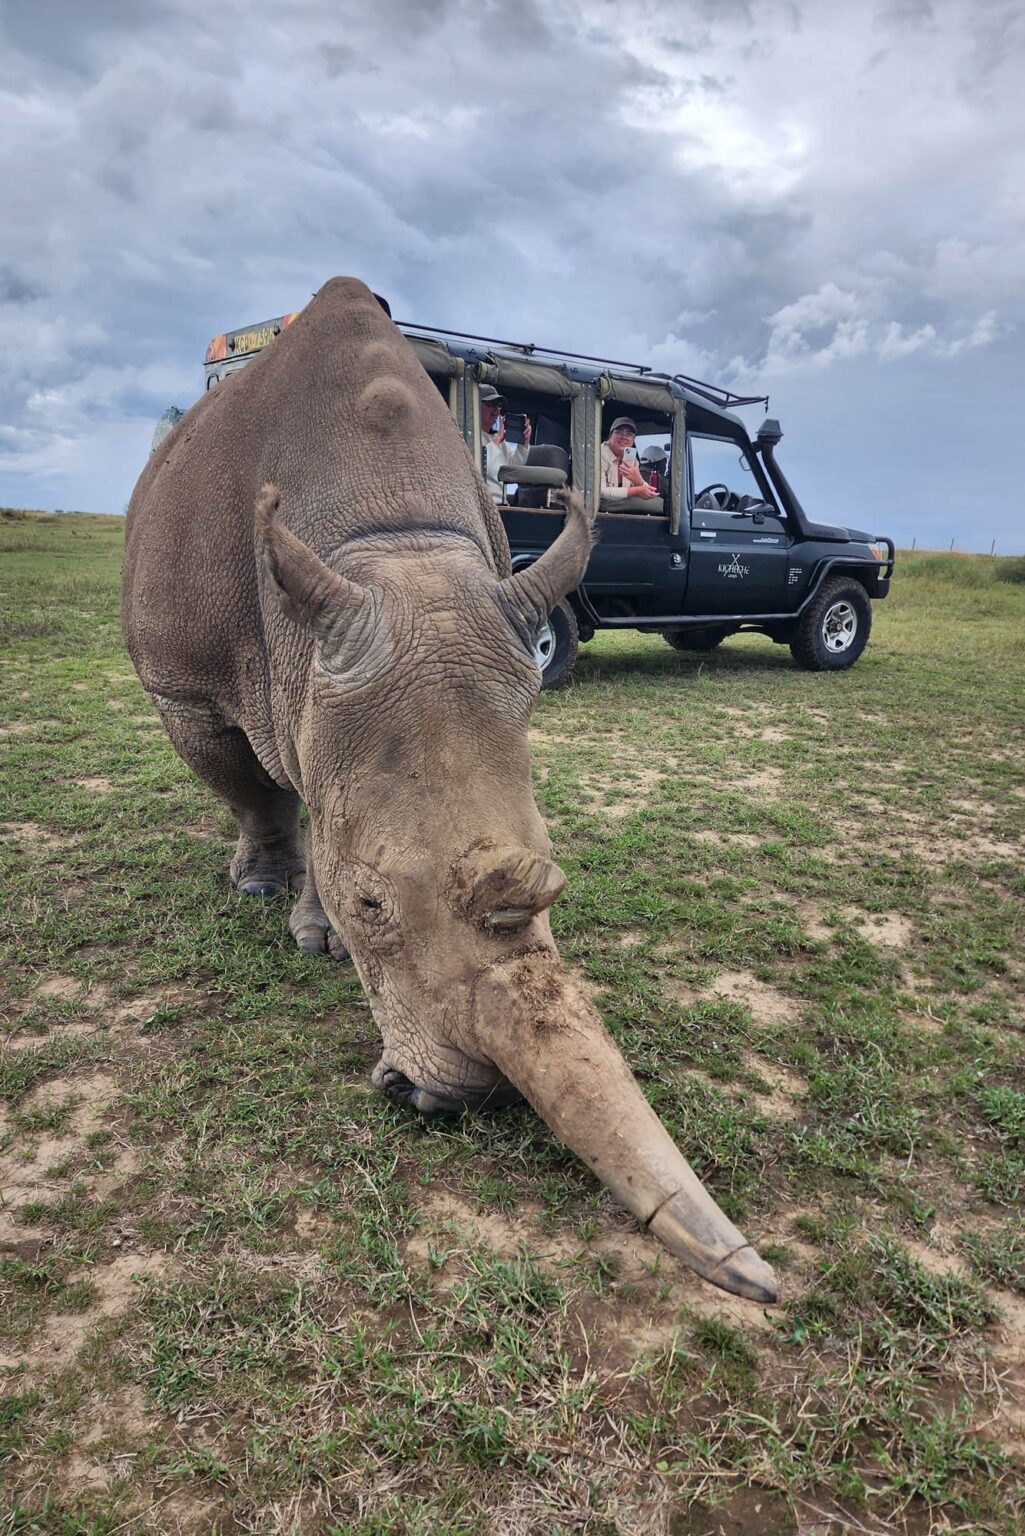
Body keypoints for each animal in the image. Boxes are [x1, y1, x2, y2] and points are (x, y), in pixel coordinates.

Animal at [122, 277, 776, 1302]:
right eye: (370, 903)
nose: (458, 1095)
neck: (387, 546)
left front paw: (311, 928)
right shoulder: (186, 681)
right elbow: (253, 788)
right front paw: (274, 895)